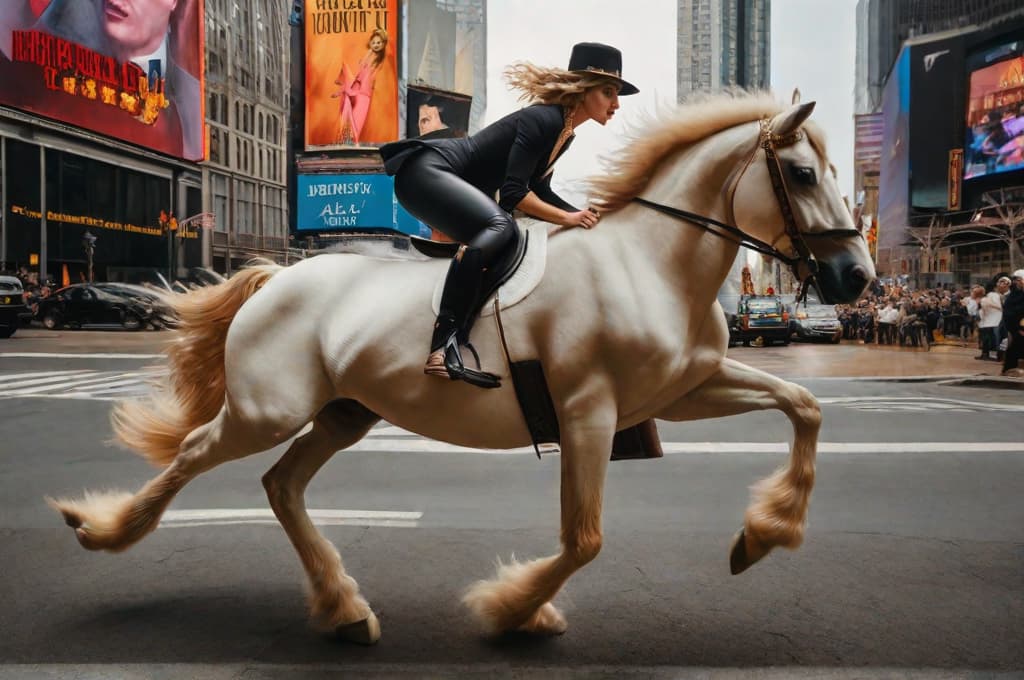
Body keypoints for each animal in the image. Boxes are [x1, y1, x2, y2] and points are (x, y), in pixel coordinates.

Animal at [49, 90, 872, 643]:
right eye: (802, 174)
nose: (856, 279)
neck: (650, 264)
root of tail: (275, 276)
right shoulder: (589, 414)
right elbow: (584, 538)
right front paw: (512, 609)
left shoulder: (686, 389)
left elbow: (803, 405)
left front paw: (764, 533)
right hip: (266, 409)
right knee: (194, 453)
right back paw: (104, 531)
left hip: (344, 413)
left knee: (281, 485)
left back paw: (344, 608)